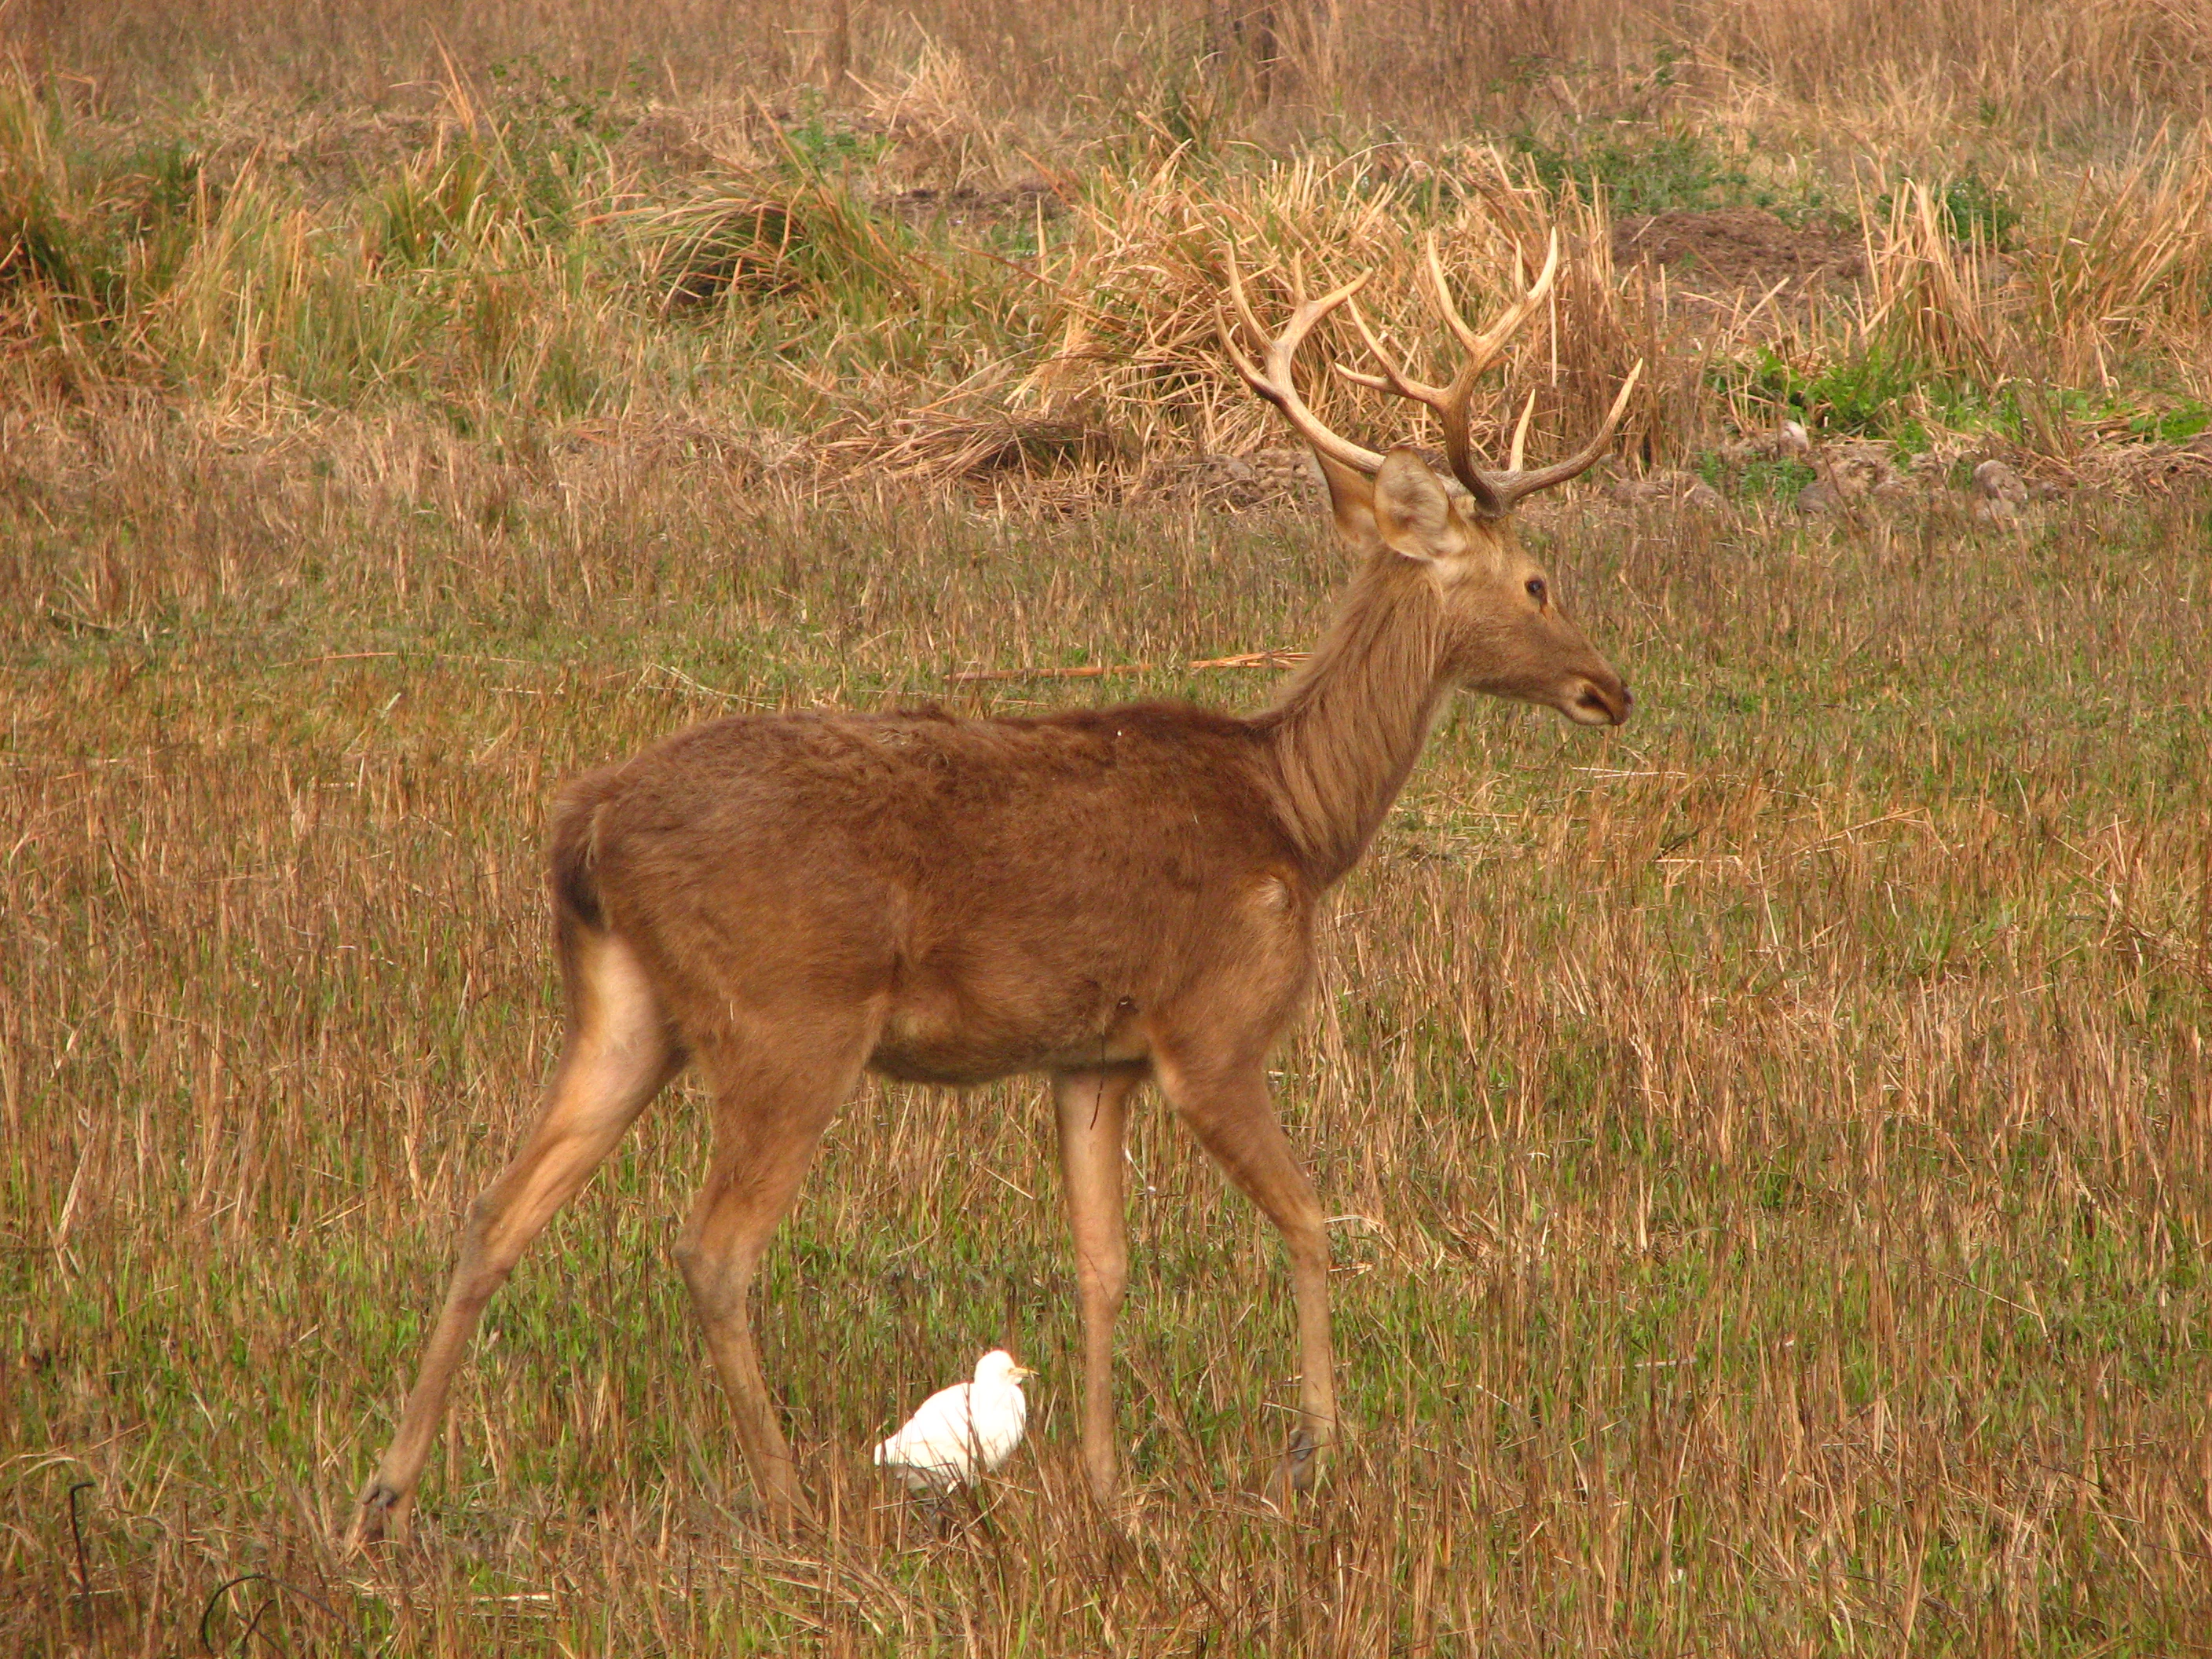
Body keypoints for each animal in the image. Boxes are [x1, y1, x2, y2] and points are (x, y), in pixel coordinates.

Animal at [350, 234, 1641, 1543]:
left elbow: (1103, 1262)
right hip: (787, 1018)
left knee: (495, 1208)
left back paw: (386, 1490)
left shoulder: (1092, 1057)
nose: (1612, 689)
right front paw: (1311, 1452)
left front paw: (1111, 1490)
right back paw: (787, 1500)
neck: (1298, 816)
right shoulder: (1214, 1029)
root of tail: (589, 822)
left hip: (627, 1008)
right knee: (711, 1246)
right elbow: (1311, 1220)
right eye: (1538, 582)